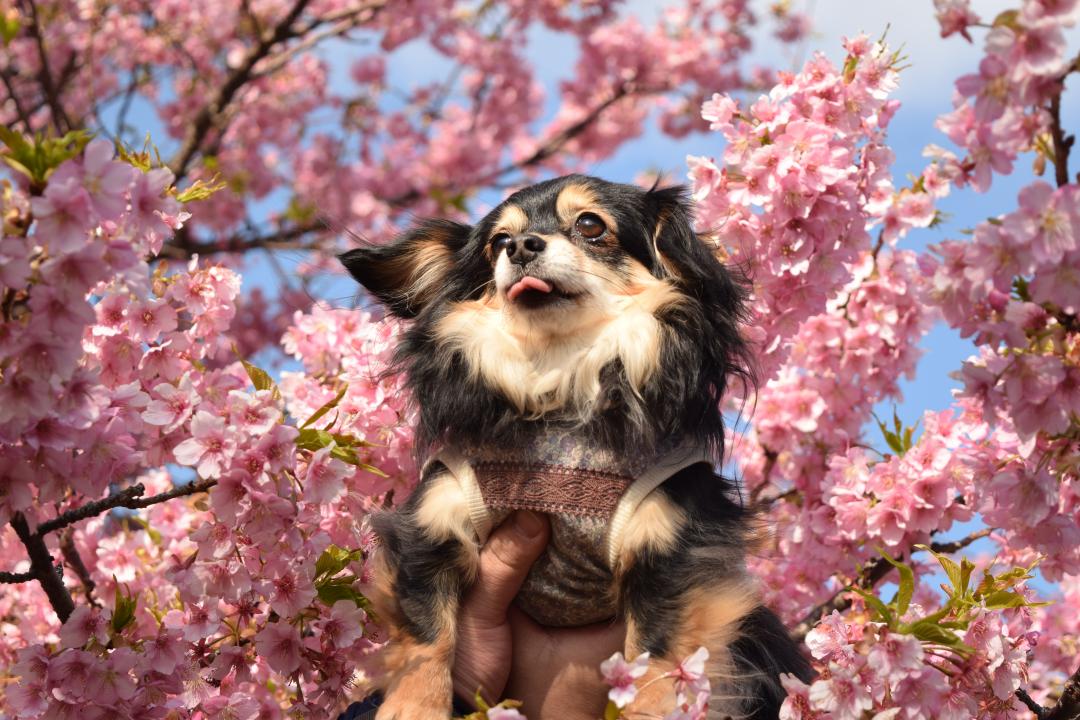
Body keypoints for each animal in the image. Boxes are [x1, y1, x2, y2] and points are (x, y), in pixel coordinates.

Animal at [339, 175, 812, 720]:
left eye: (590, 225)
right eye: (498, 242)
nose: (522, 246)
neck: (559, 377)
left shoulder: (672, 551)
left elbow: (654, 662)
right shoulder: (433, 521)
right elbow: (426, 634)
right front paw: (414, 707)